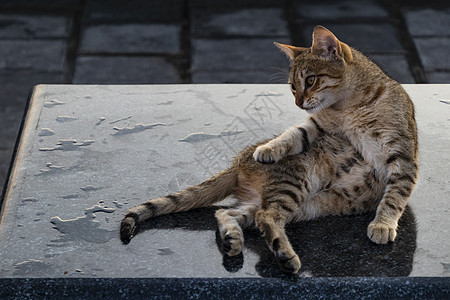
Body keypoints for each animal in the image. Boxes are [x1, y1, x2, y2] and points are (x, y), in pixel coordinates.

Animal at [119, 26, 418, 274]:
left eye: (310, 80)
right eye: (293, 87)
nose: (298, 102)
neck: (347, 108)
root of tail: (237, 163)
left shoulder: (403, 155)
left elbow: (395, 196)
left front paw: (383, 224)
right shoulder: (319, 125)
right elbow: (294, 133)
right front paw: (268, 148)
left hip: (293, 203)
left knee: (232, 213)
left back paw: (236, 240)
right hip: (295, 185)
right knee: (264, 216)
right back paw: (283, 254)